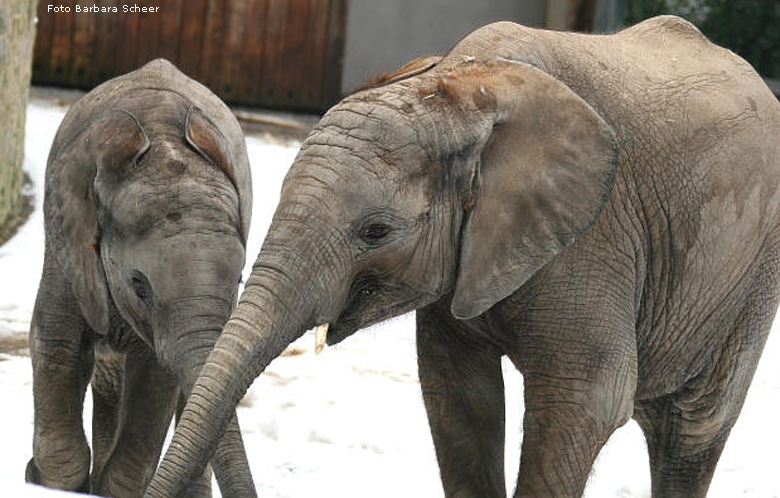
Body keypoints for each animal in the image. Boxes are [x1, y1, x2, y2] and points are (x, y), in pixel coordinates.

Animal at [25, 59, 258, 498]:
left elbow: (156, 377)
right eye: (139, 284)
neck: (162, 141)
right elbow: (58, 344)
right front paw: (49, 482)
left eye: (239, 280)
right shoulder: (66, 245)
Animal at [148, 15, 780, 498]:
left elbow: (585, 401)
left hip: (755, 272)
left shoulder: (598, 235)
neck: (462, 89)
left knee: (693, 427)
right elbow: (460, 399)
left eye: (376, 231)